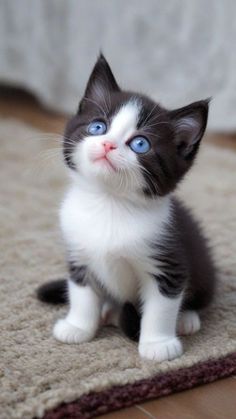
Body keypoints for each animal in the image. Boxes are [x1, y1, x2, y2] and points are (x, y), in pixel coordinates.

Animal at [37, 54, 217, 362]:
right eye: (97, 127)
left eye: (140, 144)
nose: (108, 145)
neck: (109, 203)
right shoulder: (78, 253)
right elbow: (82, 295)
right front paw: (78, 327)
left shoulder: (168, 261)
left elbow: (160, 307)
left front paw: (158, 344)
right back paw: (109, 310)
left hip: (203, 264)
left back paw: (186, 318)